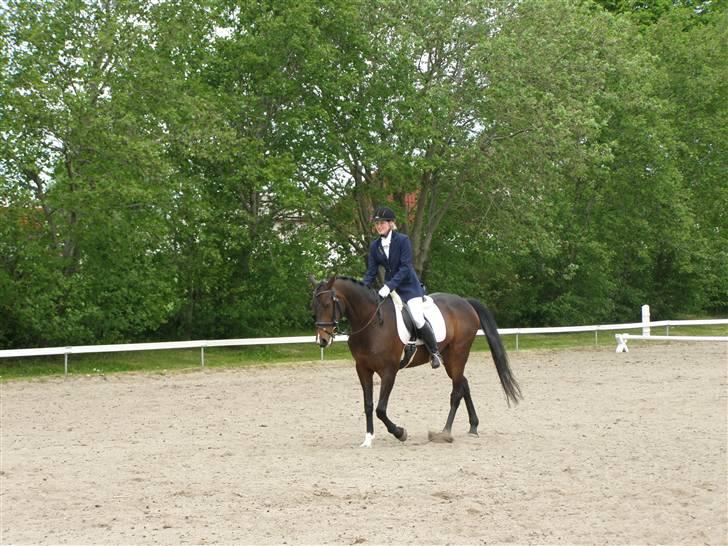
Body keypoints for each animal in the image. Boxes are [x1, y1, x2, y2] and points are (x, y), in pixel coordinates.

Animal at [310, 274, 520, 444]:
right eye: (314, 306)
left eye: (327, 304)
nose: (322, 340)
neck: (371, 323)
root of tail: (465, 302)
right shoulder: (362, 369)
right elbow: (368, 405)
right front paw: (368, 438)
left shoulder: (389, 371)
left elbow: (380, 409)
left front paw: (399, 432)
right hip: (450, 358)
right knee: (463, 383)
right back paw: (473, 427)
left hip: (459, 353)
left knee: (456, 391)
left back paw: (445, 432)